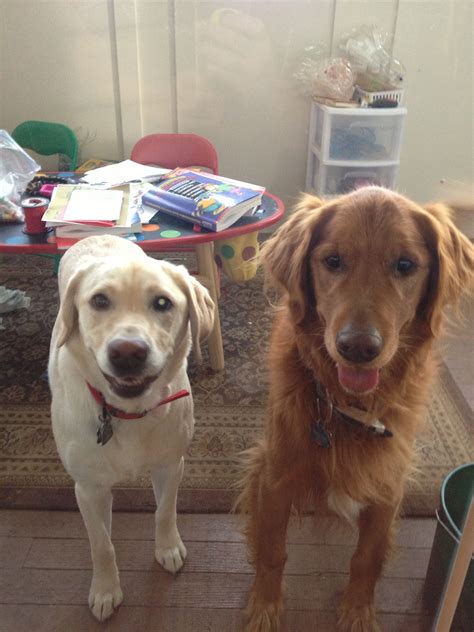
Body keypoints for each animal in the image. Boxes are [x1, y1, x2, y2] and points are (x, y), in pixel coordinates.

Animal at [47, 235, 214, 620]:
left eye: (163, 302)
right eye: (99, 300)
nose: (127, 352)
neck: (128, 413)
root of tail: (99, 235)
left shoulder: (171, 465)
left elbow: (164, 511)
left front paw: (168, 549)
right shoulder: (88, 488)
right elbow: (101, 544)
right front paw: (106, 591)